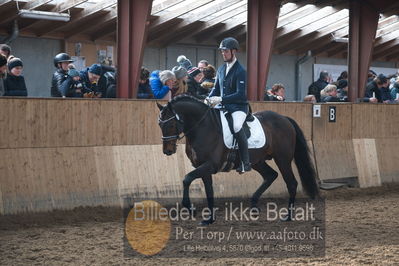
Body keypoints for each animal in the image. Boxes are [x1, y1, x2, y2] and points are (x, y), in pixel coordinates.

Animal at [158, 95, 320, 224]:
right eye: (160, 124)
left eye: (171, 124)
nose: (167, 151)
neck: (203, 127)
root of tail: (284, 119)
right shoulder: (203, 167)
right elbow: (208, 190)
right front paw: (209, 219)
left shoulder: (210, 165)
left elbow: (187, 179)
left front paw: (190, 208)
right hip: (257, 161)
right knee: (270, 175)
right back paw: (254, 206)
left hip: (283, 159)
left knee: (291, 183)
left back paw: (288, 216)